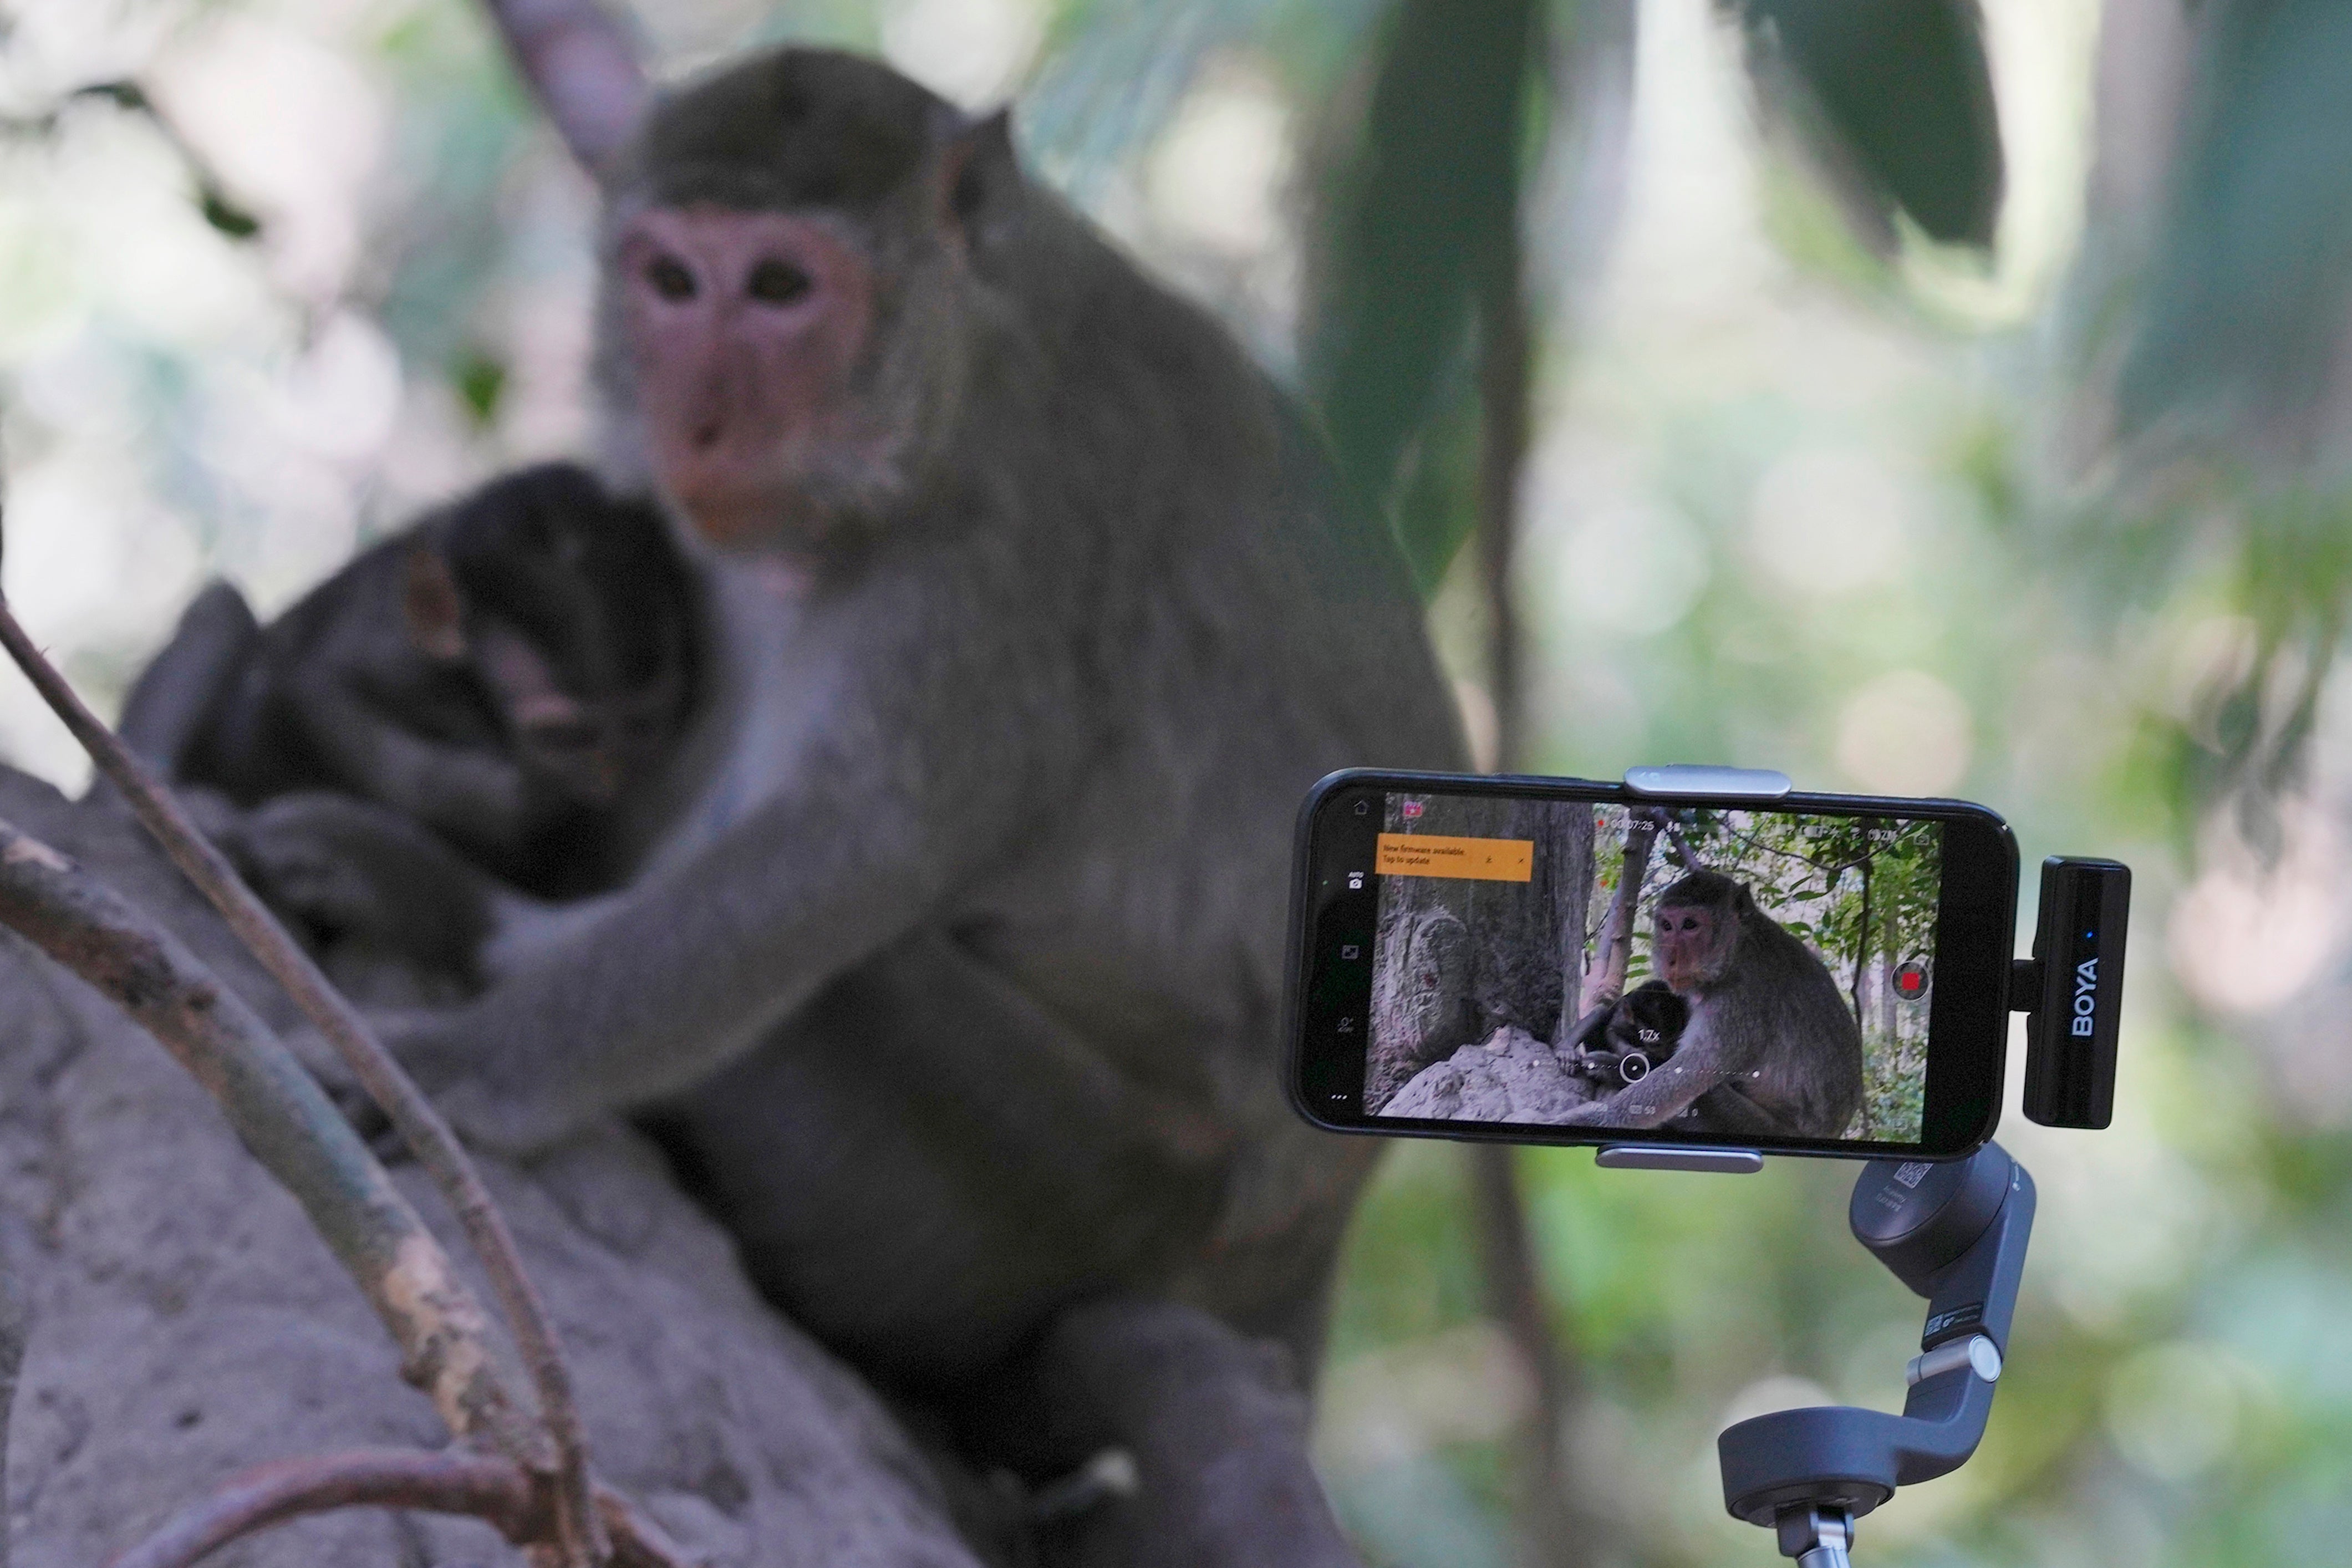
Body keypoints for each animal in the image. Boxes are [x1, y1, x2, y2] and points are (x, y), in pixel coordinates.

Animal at [123, 461, 696, 903]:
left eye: (641, 728)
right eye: (566, 737)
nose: (610, 776)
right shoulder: (396, 656)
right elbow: (314, 690)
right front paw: (511, 804)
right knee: (222, 612)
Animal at [257, 24, 1458, 1568]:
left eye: (781, 289)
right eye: (671, 280)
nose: (698, 424)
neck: (959, 364)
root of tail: (1312, 1251)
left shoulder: (1013, 535)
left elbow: (850, 854)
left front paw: (465, 1065)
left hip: (1072, 1185)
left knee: (856, 979)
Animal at [1561, 869, 1872, 1142]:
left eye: (1690, 925)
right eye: (1667, 926)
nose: (1671, 958)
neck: (1738, 950)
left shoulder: (1741, 1000)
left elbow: (1690, 1073)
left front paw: (1591, 1117)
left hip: (1751, 1125)